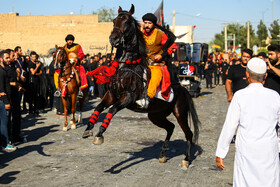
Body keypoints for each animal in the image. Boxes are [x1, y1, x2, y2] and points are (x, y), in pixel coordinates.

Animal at [82, 4, 200, 168]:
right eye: (114, 21)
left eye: (126, 22)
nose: (113, 38)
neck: (126, 67)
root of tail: (183, 89)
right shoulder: (111, 95)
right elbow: (98, 108)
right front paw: (88, 129)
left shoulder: (127, 97)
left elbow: (112, 110)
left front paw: (100, 134)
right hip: (155, 115)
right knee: (170, 127)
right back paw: (162, 155)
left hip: (179, 113)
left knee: (188, 133)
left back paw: (186, 159)